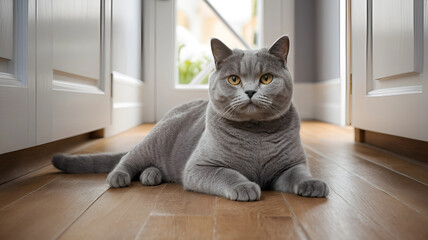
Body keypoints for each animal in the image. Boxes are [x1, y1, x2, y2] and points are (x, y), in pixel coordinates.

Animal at [51, 35, 330, 201]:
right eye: (234, 79)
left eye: (266, 78)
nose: (250, 91)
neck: (256, 135)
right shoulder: (200, 167)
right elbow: (228, 174)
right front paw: (246, 187)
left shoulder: (290, 165)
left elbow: (299, 175)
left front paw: (314, 185)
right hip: (154, 140)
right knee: (127, 158)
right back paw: (119, 178)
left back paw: (151, 176)